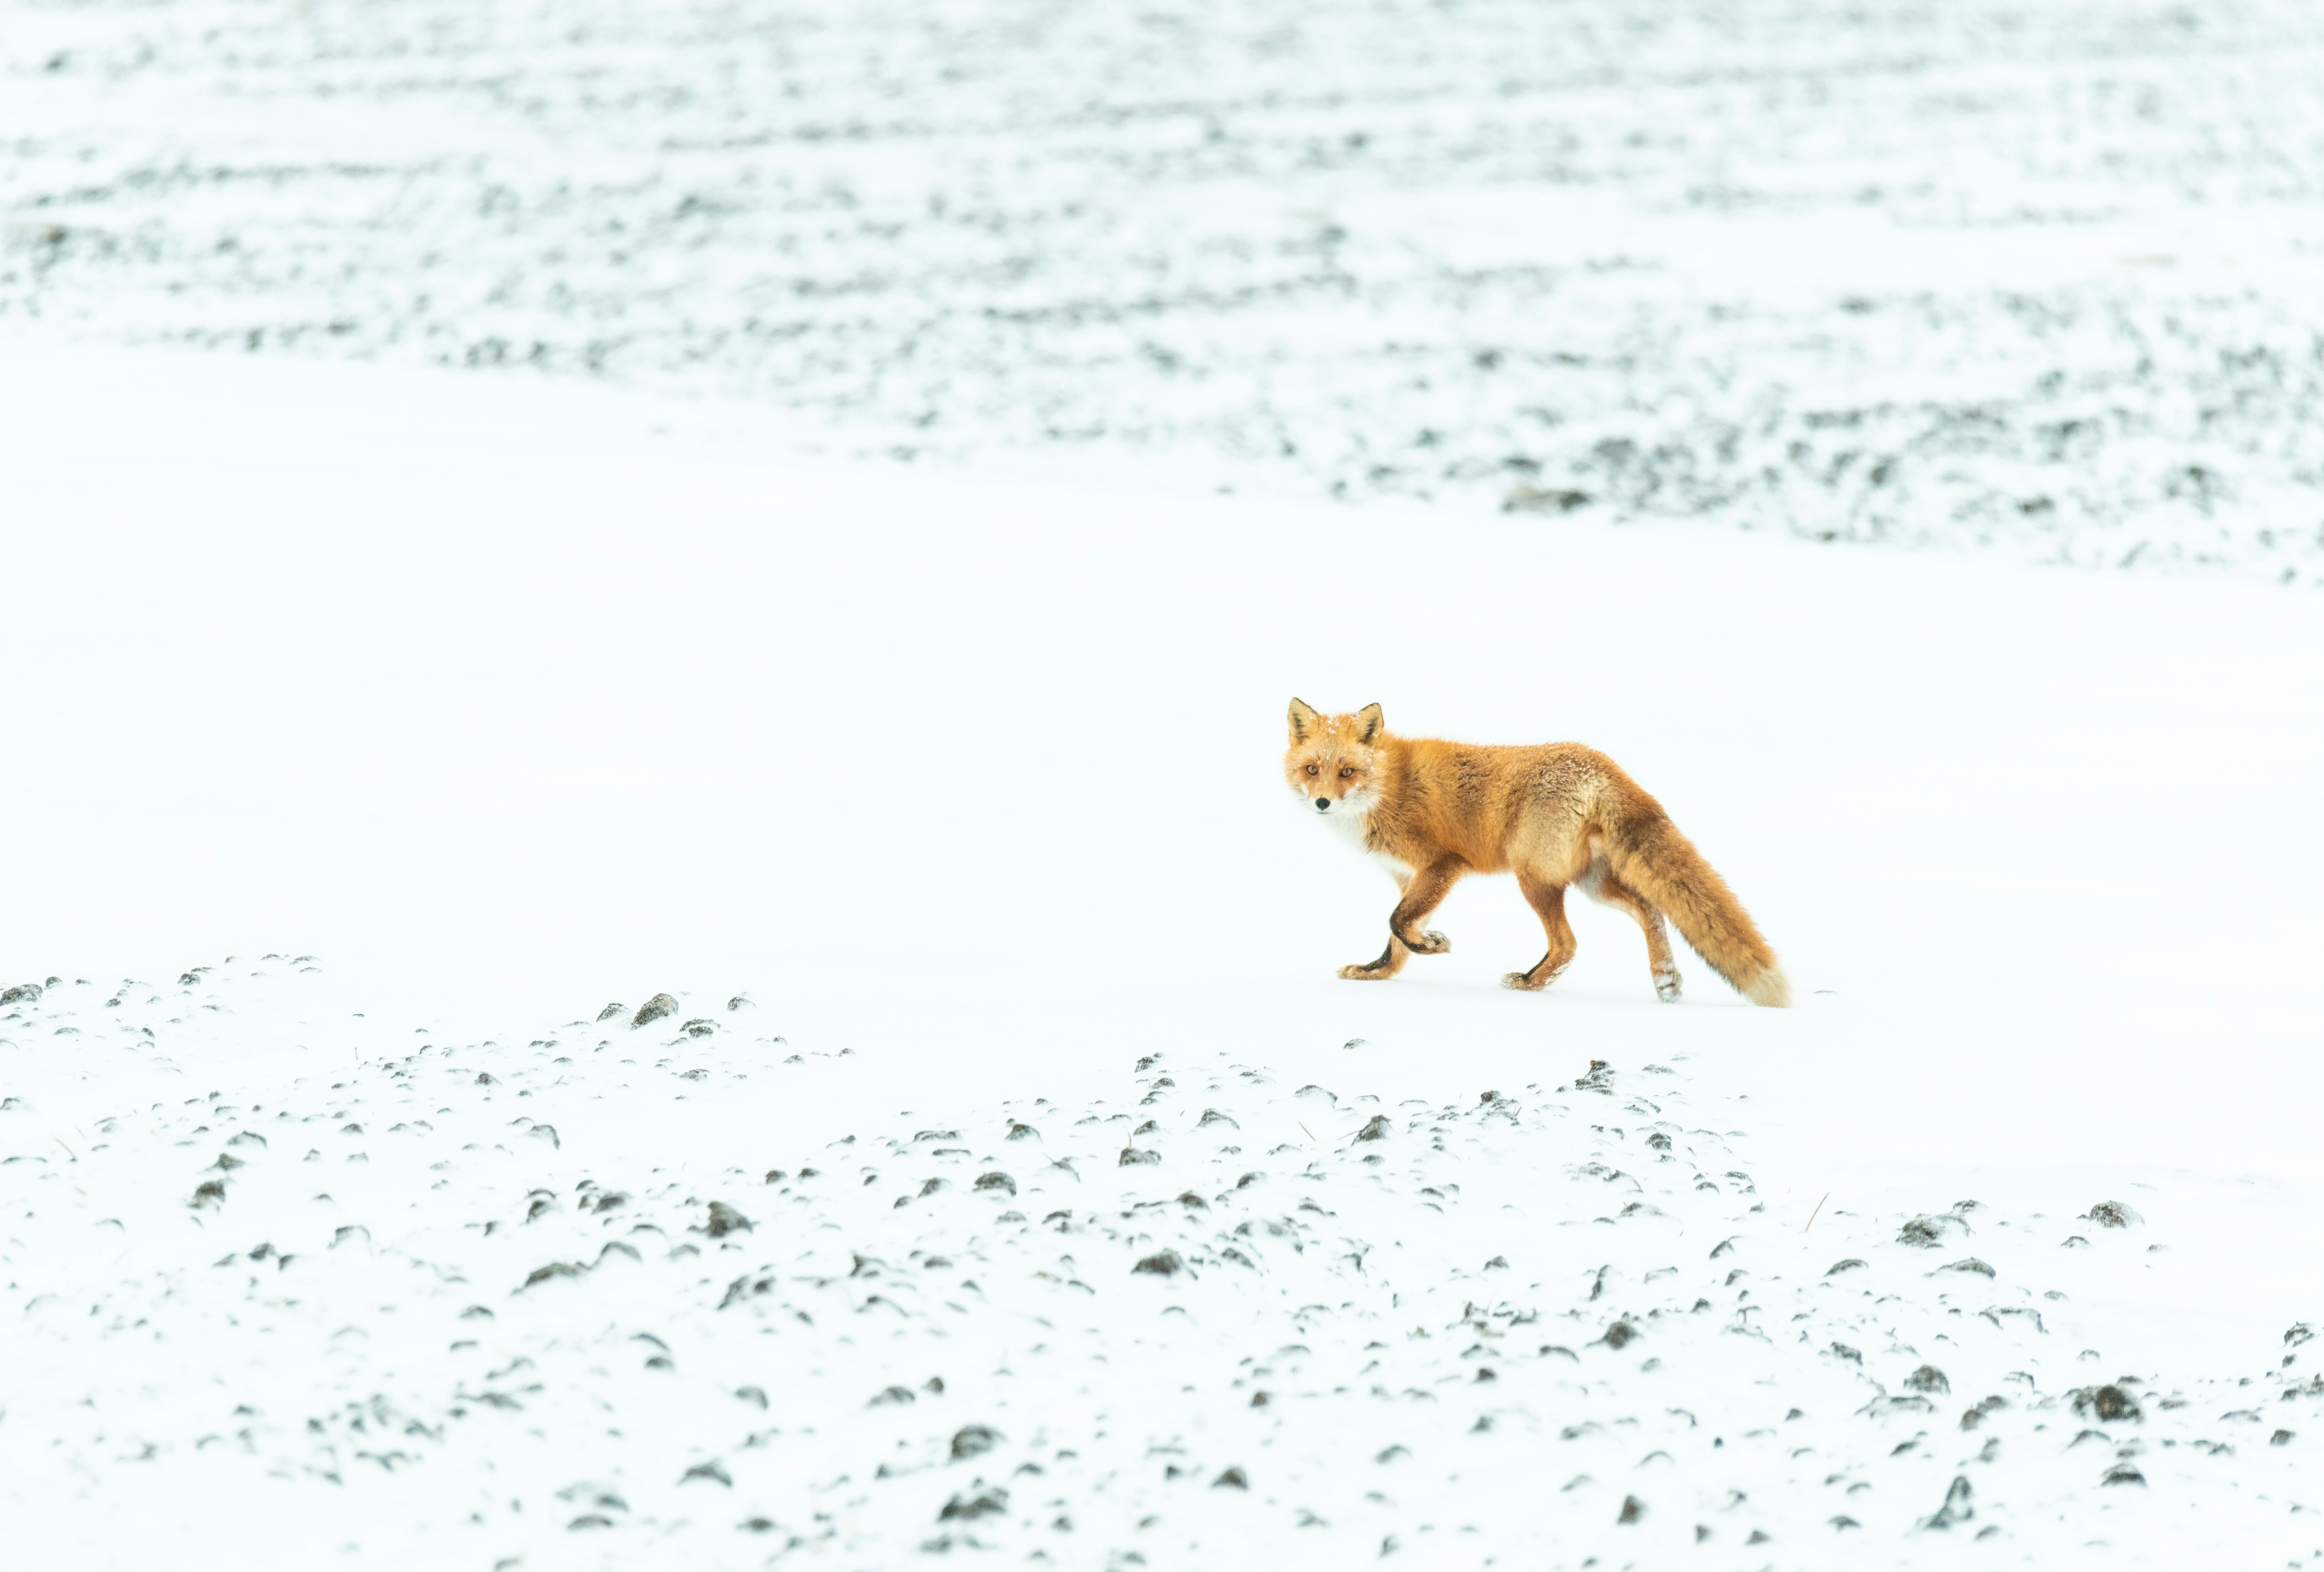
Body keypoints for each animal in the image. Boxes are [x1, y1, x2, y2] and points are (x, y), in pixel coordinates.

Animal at [1285, 699, 1790, 1006]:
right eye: (1312, 770)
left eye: (1347, 772)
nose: (1322, 802)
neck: (1388, 787)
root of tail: (1600, 762)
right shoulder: (1408, 877)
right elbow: (1394, 940)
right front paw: (1375, 973)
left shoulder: (1443, 865)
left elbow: (1397, 923)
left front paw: (1432, 944)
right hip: (1592, 883)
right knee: (1649, 910)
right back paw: (1665, 978)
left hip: (1534, 877)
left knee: (1568, 944)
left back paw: (1530, 983)